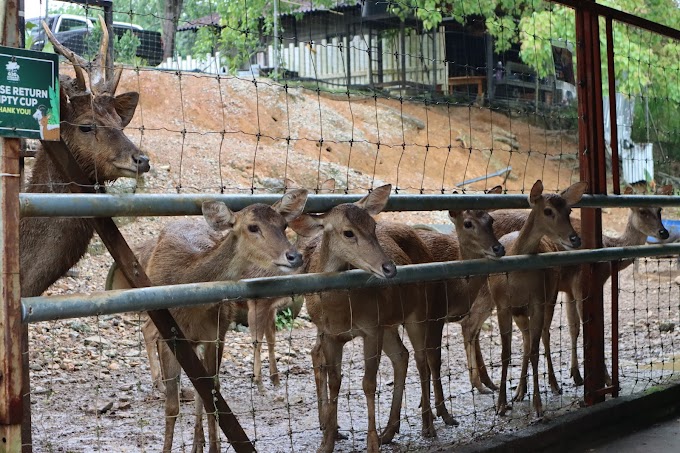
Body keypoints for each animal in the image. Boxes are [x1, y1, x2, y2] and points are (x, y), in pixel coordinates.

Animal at [112, 191, 308, 452]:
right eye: (252, 227)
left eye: (284, 225)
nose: (294, 256)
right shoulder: (169, 336)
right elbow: (172, 406)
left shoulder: (217, 335)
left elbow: (212, 395)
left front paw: (213, 446)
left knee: (201, 390)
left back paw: (199, 441)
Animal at [486, 179, 588, 416]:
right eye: (548, 210)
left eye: (569, 210)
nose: (575, 239)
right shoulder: (502, 305)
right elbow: (506, 353)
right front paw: (501, 405)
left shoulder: (537, 301)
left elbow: (535, 350)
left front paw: (538, 406)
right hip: (520, 312)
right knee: (525, 340)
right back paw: (519, 391)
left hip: (550, 298)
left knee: (544, 336)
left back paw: (554, 384)